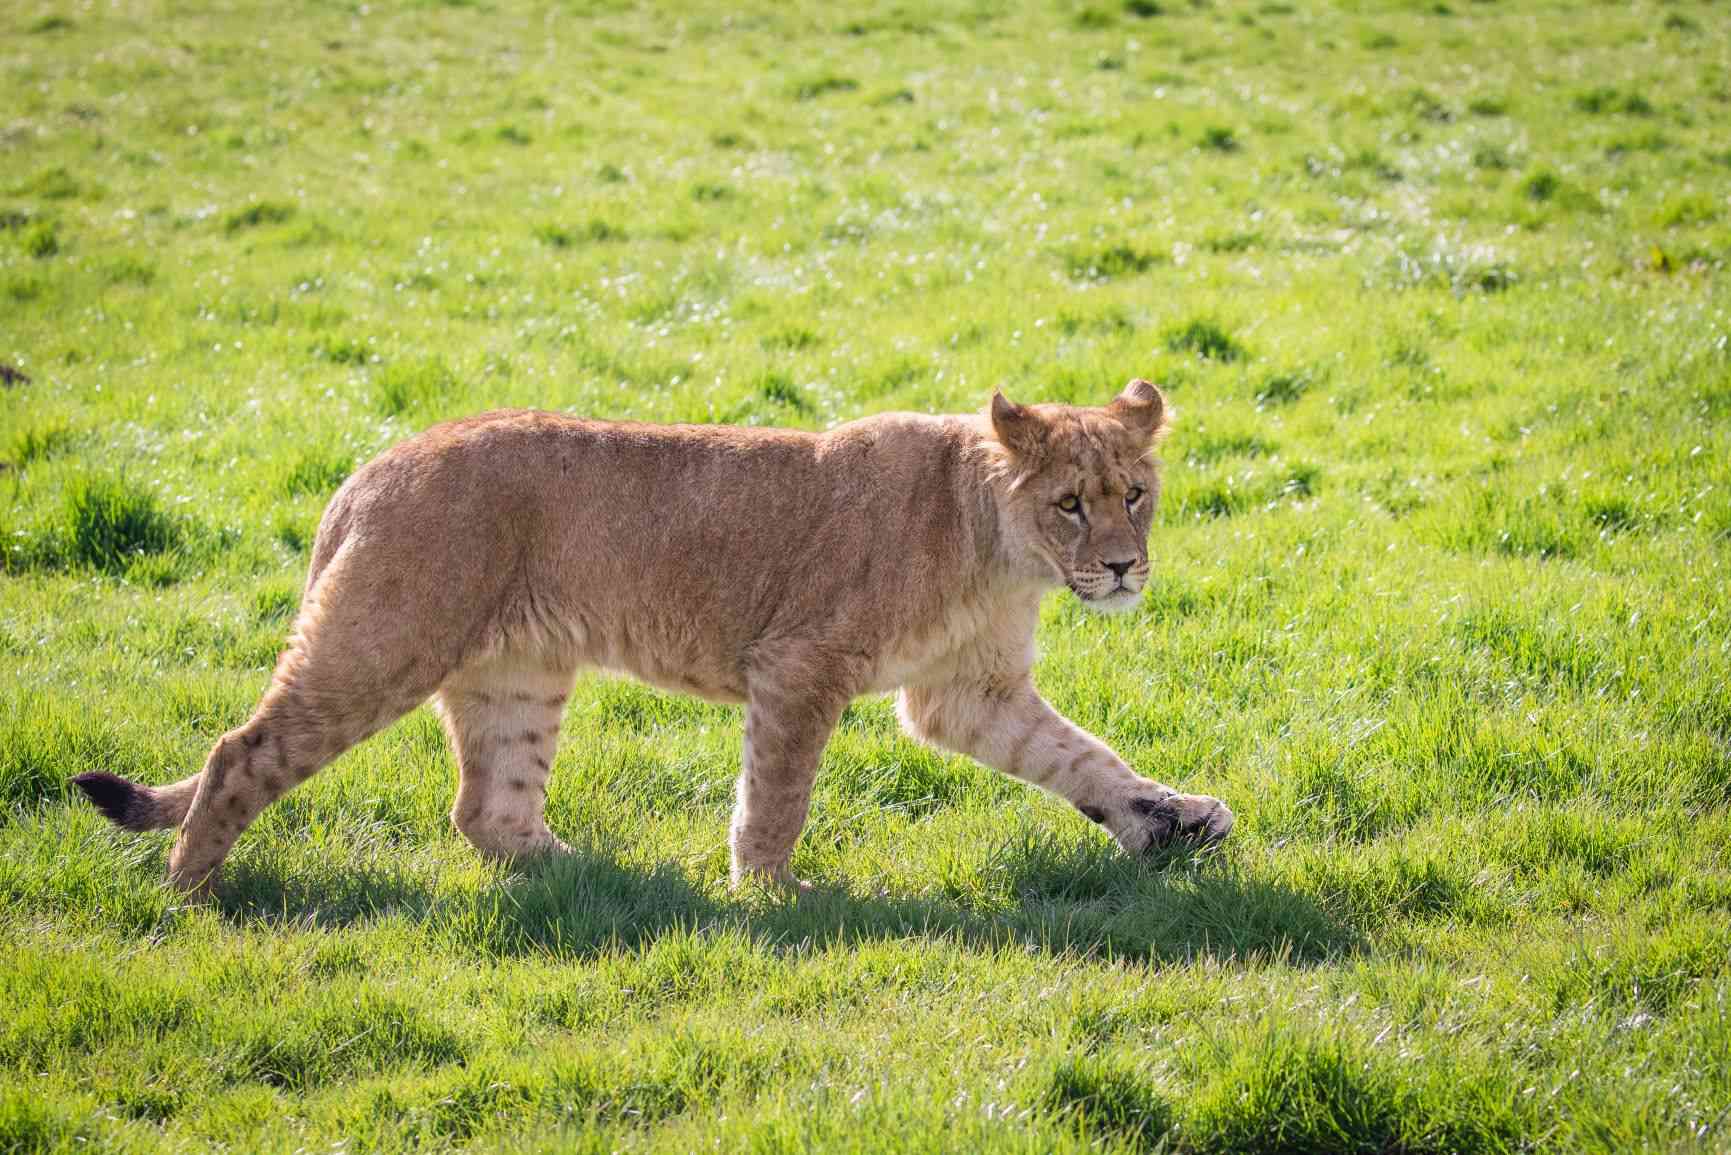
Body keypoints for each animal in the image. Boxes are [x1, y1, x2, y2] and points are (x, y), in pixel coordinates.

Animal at [70, 379, 1232, 893]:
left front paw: (1168, 824)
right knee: (241, 750)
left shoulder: (966, 693)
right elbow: (777, 794)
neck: (1002, 551)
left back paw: (594, 876)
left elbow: (1081, 757)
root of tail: (370, 466)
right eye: (1072, 505)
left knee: (485, 809)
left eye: (1135, 494)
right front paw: (770, 896)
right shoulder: (798, 666)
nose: (1122, 567)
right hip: (383, 642)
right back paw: (190, 888)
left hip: (520, 673)